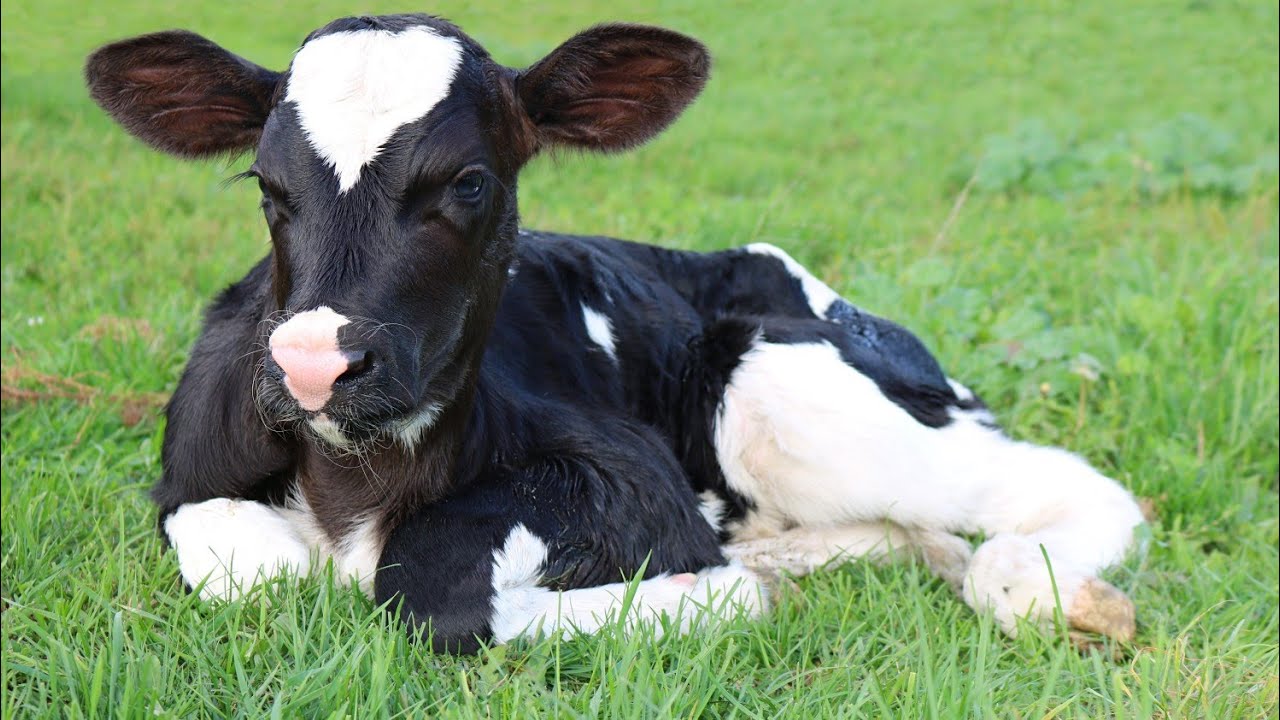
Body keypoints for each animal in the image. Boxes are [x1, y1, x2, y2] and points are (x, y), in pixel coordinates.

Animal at [85, 13, 1144, 653]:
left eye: (471, 181)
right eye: (266, 184)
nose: (312, 364)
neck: (357, 485)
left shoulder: (626, 474)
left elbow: (440, 593)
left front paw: (728, 591)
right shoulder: (193, 472)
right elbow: (253, 563)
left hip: (778, 383)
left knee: (1068, 493)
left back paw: (1034, 584)